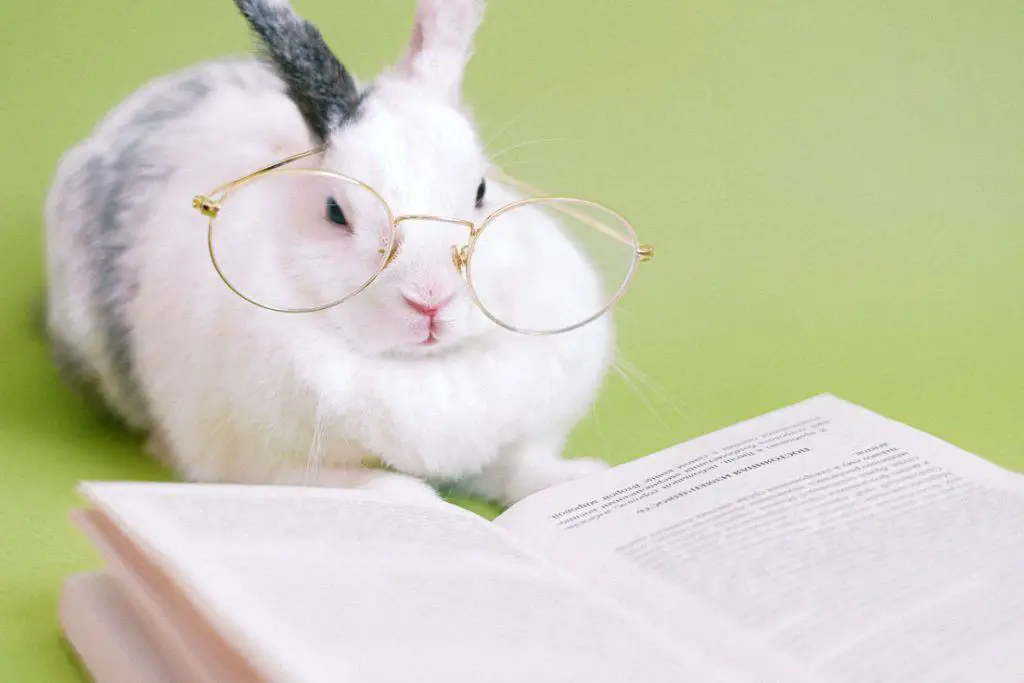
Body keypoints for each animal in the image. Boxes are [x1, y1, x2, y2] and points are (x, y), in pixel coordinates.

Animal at [41, 0, 614, 505]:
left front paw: (582, 477)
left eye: (480, 191)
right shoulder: (258, 462)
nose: (430, 301)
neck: (419, 369)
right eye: (336, 212)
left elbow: (520, 468)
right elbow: (351, 484)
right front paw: (414, 500)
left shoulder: (511, 442)